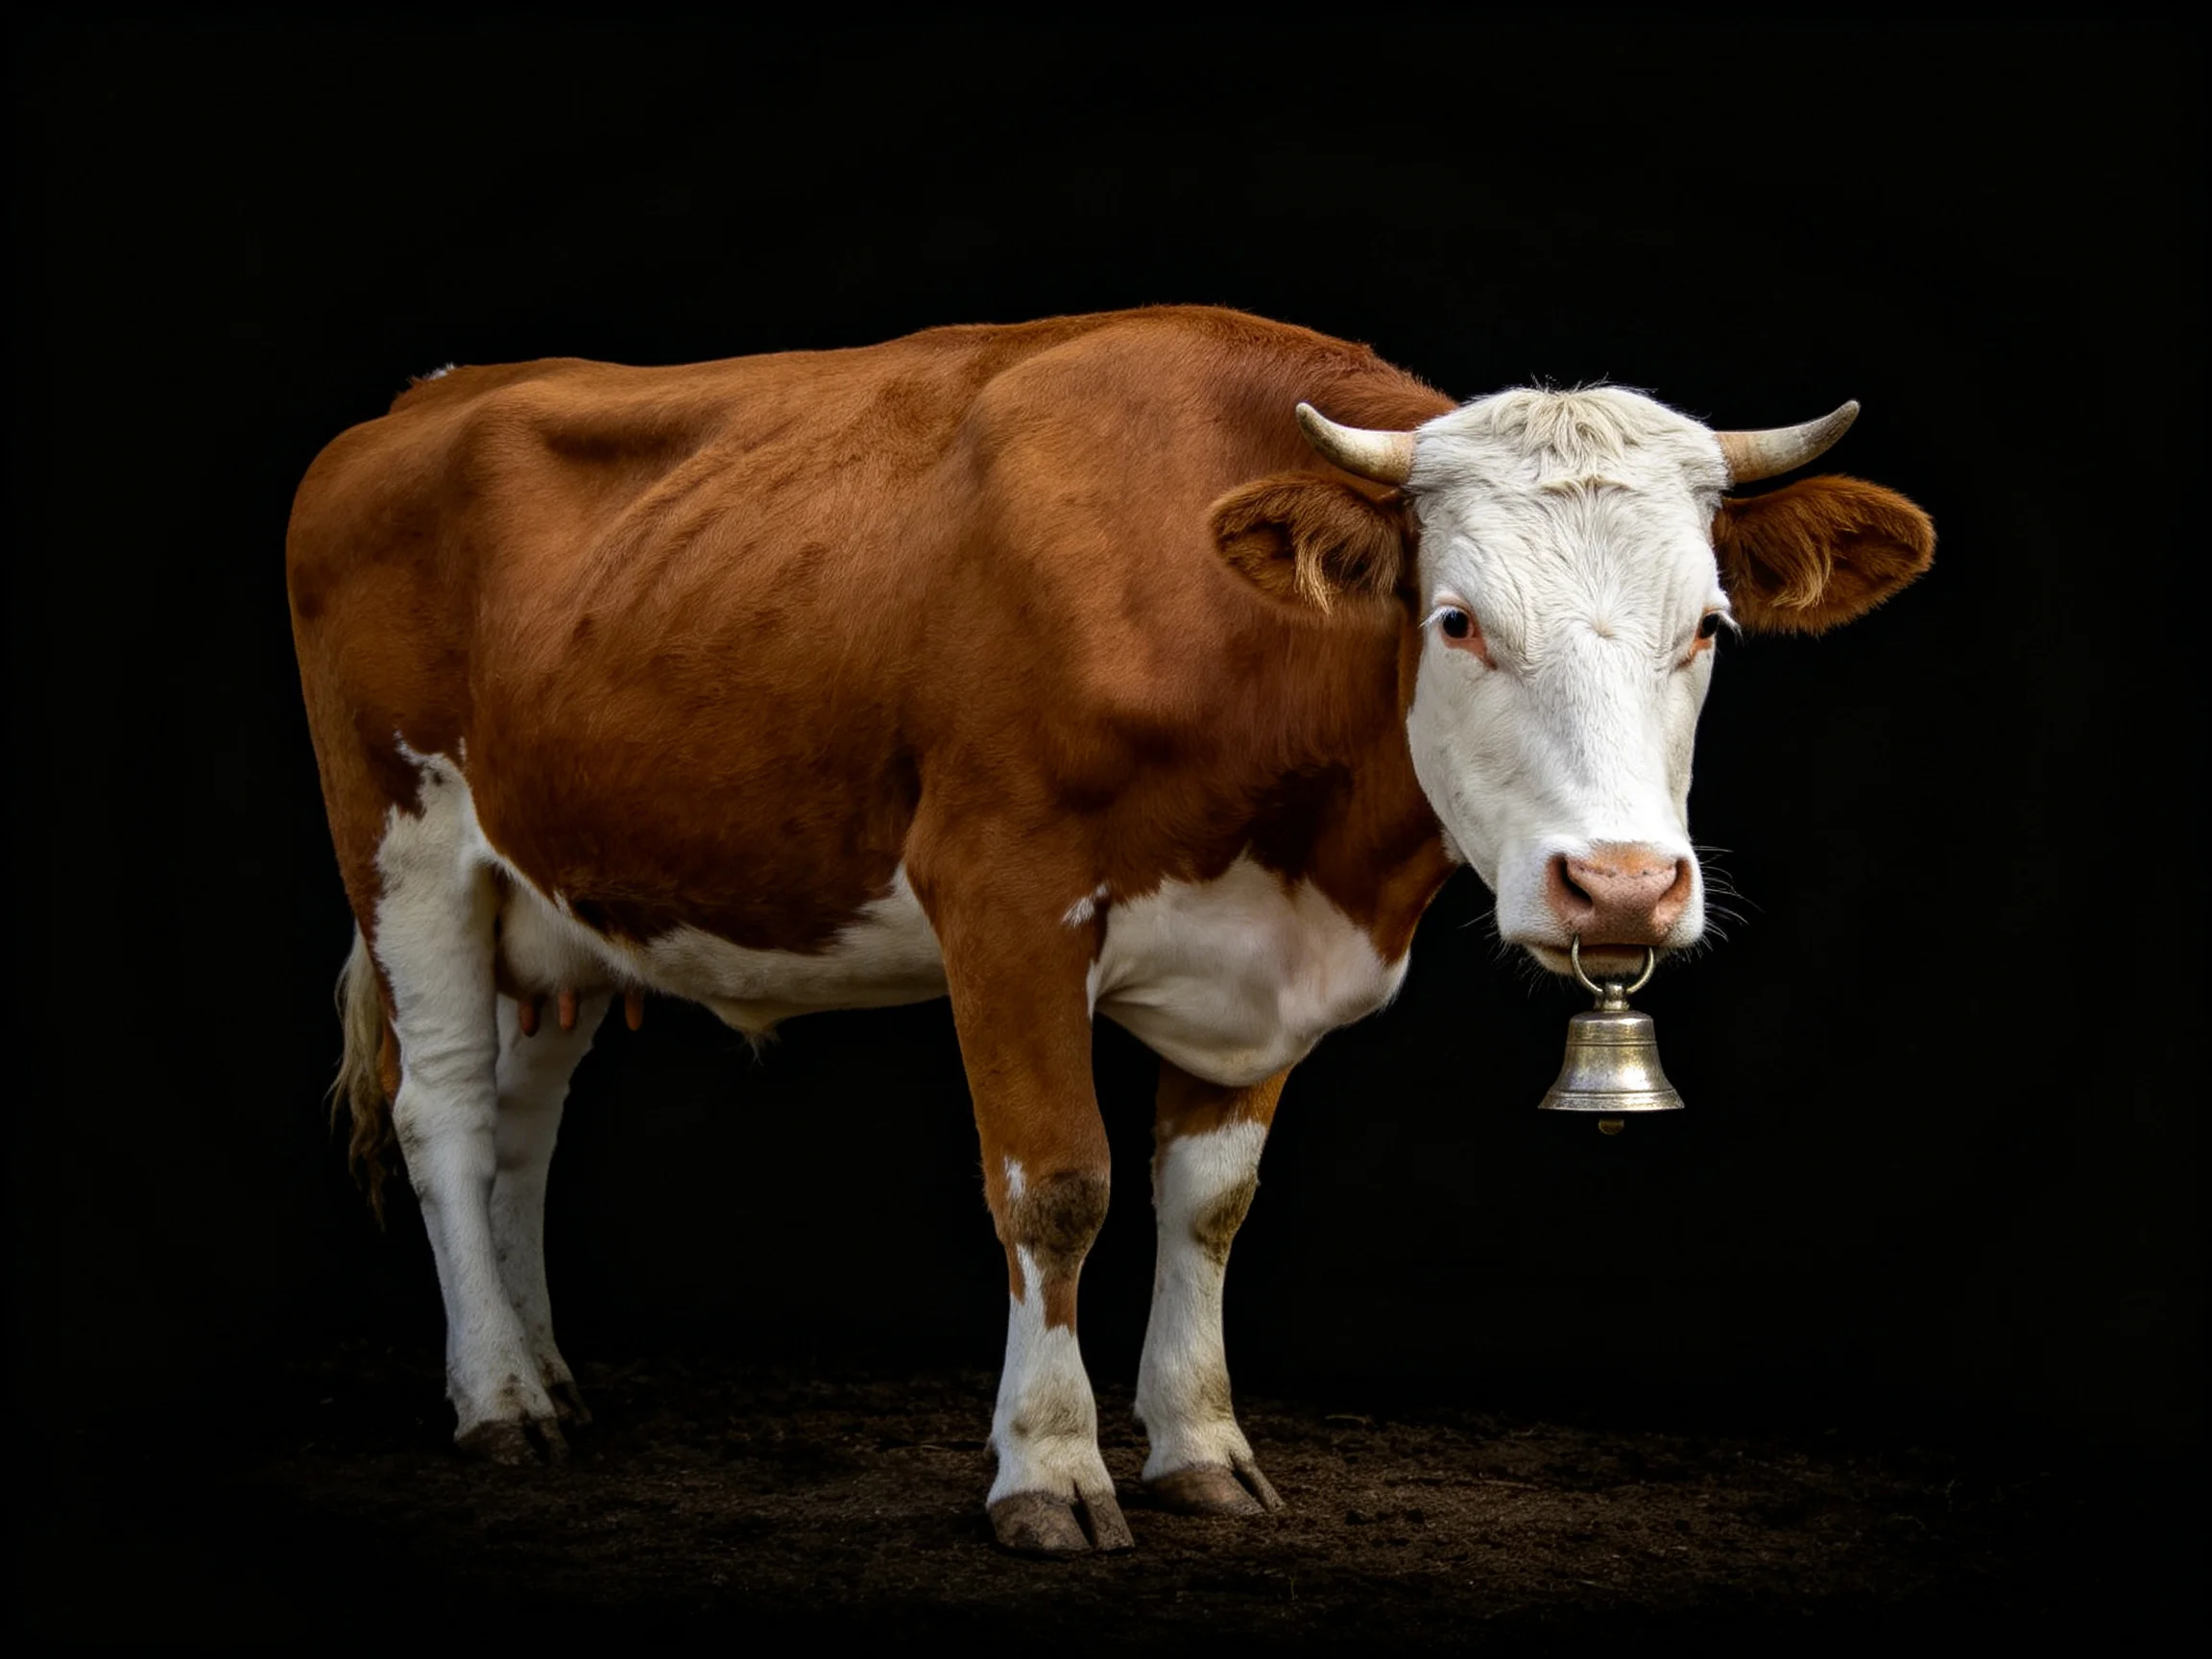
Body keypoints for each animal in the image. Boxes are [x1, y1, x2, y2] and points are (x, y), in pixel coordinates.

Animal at [286, 305, 1932, 1556]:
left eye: (1708, 625)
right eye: (1457, 620)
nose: (1622, 888)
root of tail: (433, 394)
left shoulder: (1264, 955)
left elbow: (1208, 1201)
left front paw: (1200, 1449)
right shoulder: (1002, 895)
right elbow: (1058, 1191)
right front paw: (1052, 1469)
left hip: (557, 899)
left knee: (519, 1125)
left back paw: (545, 1376)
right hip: (409, 845)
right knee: (443, 1113)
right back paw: (498, 1402)